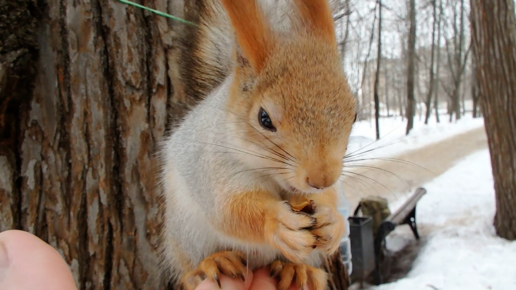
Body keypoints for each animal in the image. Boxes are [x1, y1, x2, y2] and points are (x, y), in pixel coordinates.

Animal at [159, 0, 356, 290]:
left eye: (354, 113)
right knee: (188, 269)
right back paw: (211, 263)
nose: (321, 179)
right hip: (186, 231)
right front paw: (277, 222)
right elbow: (229, 209)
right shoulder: (214, 164)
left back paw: (298, 270)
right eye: (264, 118)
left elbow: (330, 199)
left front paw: (332, 221)